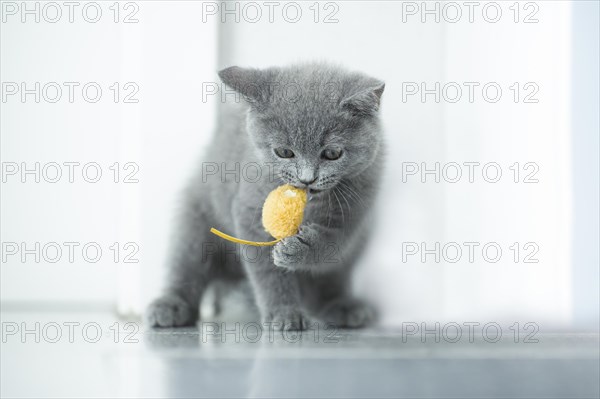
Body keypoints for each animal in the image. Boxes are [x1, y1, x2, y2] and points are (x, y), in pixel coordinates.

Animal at [148, 62, 386, 332]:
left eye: (333, 153)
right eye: (284, 152)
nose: (307, 179)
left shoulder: (355, 208)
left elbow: (331, 244)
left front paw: (298, 250)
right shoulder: (249, 210)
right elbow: (267, 270)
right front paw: (284, 313)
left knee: (330, 280)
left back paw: (341, 307)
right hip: (195, 219)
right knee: (186, 265)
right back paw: (171, 306)